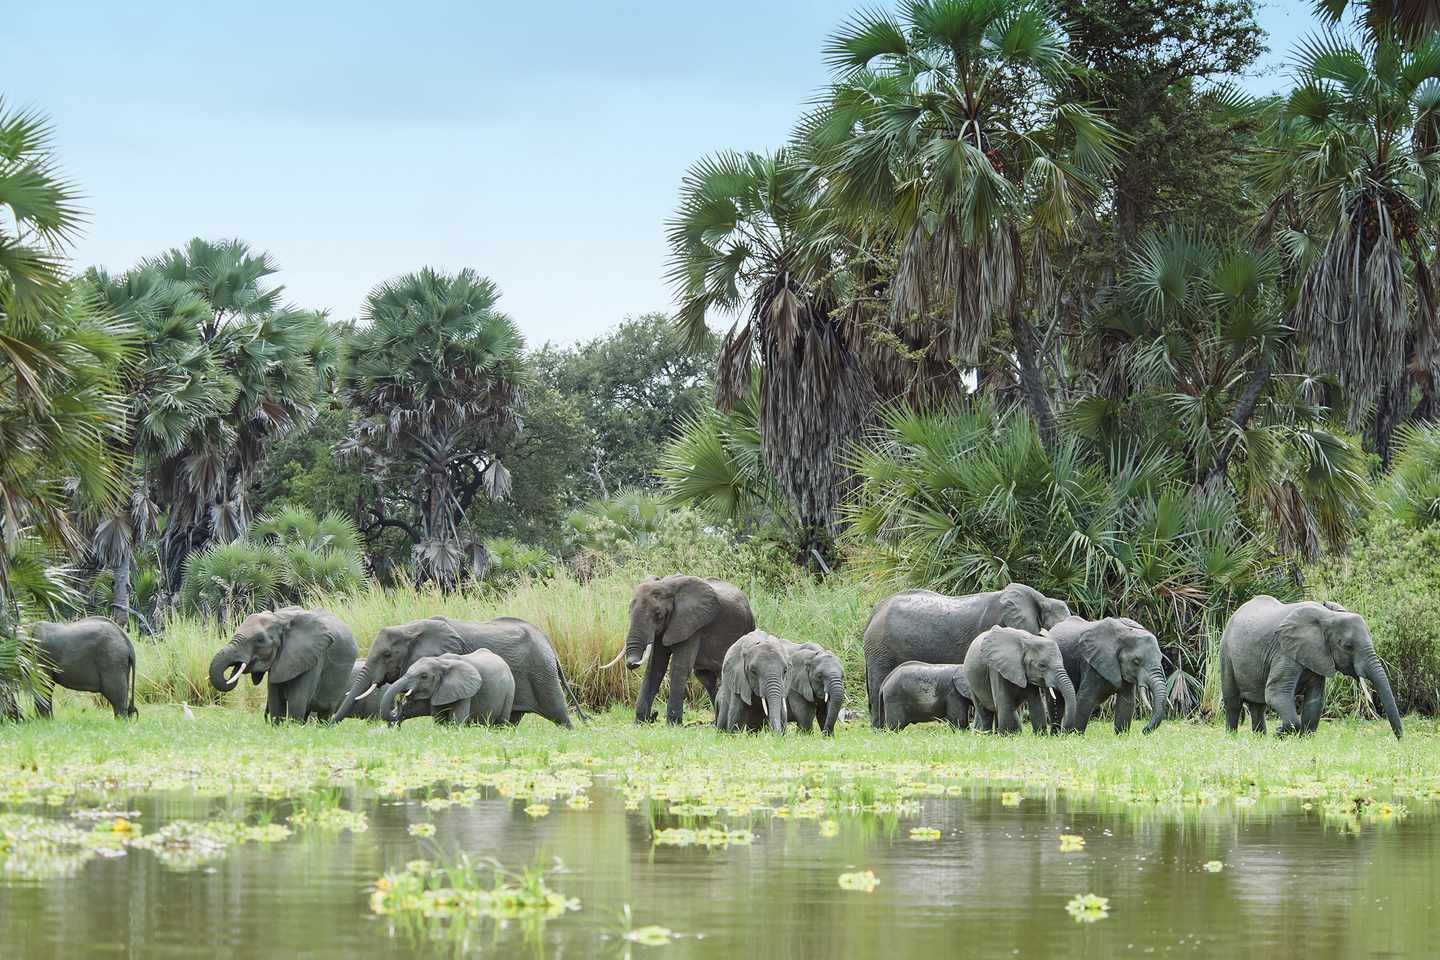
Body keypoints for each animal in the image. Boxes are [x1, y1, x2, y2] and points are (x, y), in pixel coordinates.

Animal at [208, 607, 357, 722]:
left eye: (260, 640)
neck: (280, 619)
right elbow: (276, 701)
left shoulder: (313, 657)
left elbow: (297, 701)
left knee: (324, 712)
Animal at [379, 651, 515, 727]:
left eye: (424, 676)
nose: (399, 700)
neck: (441, 662)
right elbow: (439, 718)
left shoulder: (465, 691)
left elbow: (456, 721)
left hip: (509, 691)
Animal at [600, 575, 755, 725]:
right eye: (629, 611)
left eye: (658, 615)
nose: (654, 715)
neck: (667, 586)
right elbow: (654, 668)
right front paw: (639, 723)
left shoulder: (691, 625)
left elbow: (679, 667)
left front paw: (673, 724)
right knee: (705, 677)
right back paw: (715, 722)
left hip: (748, 627)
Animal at [1220, 595, 1402, 739]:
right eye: (1348, 646)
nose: (1399, 739)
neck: (1329, 616)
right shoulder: (1284, 652)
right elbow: (1276, 693)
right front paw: (1280, 733)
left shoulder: (1317, 655)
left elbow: (1315, 699)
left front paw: (1304, 739)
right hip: (1225, 653)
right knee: (1233, 703)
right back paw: (1232, 737)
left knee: (1258, 706)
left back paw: (1260, 739)